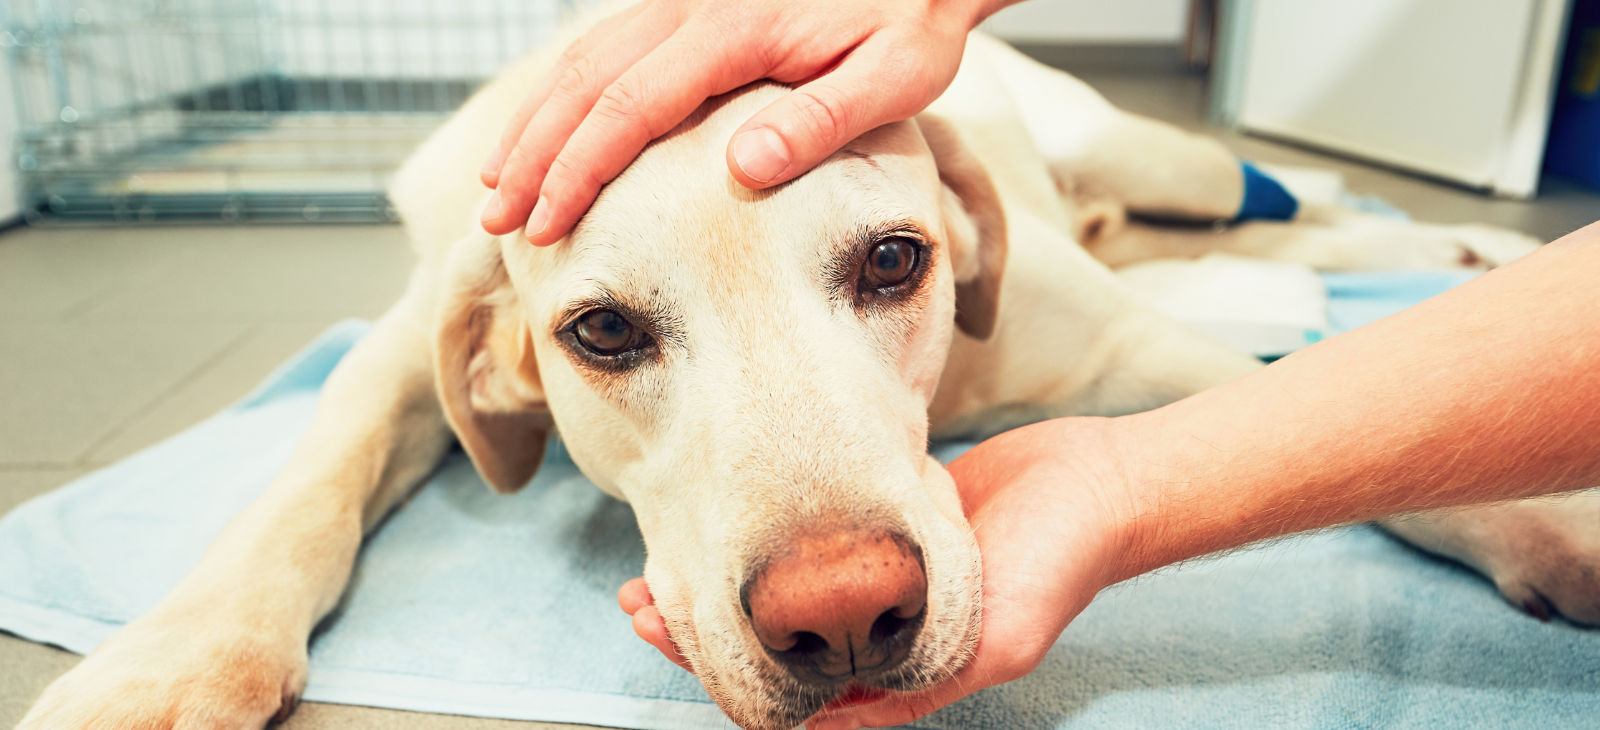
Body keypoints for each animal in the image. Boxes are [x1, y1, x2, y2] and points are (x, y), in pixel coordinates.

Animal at [15, 21, 1600, 730]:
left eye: (896, 261)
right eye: (603, 334)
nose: (844, 618)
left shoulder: (1128, 347)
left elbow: (1358, 418)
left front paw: (1547, 518)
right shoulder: (410, 339)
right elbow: (308, 479)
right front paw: (173, 658)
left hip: (1158, 155)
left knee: (1274, 201)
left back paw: (1438, 235)